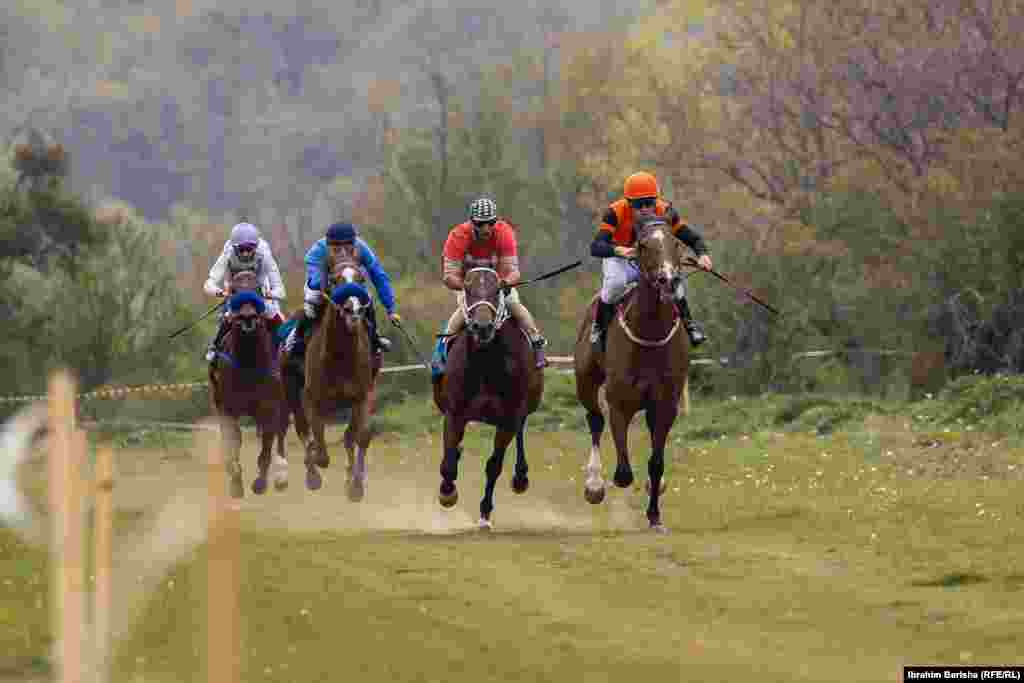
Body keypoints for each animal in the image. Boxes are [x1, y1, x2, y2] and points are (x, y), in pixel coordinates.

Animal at [205, 270, 288, 499]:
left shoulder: (269, 406)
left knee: (281, 432)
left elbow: (267, 444)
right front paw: (235, 480)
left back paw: (281, 475)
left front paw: (260, 482)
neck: (249, 360)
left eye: (258, 289)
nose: (247, 318)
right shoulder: (226, 407)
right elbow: (232, 441)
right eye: (233, 290)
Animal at [286, 248, 382, 499]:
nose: (353, 310)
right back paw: (312, 476)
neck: (340, 355)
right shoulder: (311, 398)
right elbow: (320, 448)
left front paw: (355, 485)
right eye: (335, 280)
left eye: (360, 279)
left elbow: (360, 436)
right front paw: (315, 464)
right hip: (291, 390)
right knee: (302, 429)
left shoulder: (362, 394)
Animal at [432, 266, 544, 528]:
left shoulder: (508, 418)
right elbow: (448, 463)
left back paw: (520, 476)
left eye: (496, 290)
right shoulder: (454, 412)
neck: (486, 359)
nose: (482, 326)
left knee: (520, 430)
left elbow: (494, 465)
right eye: (469, 289)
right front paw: (447, 493)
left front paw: (484, 513)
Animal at [573, 216, 692, 532]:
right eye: (643, 245)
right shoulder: (620, 403)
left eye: (675, 243)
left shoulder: (665, 403)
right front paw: (603, 485)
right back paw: (594, 484)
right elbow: (624, 472)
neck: (650, 332)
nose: (668, 280)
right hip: (585, 381)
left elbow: (656, 462)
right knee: (595, 420)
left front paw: (655, 515)